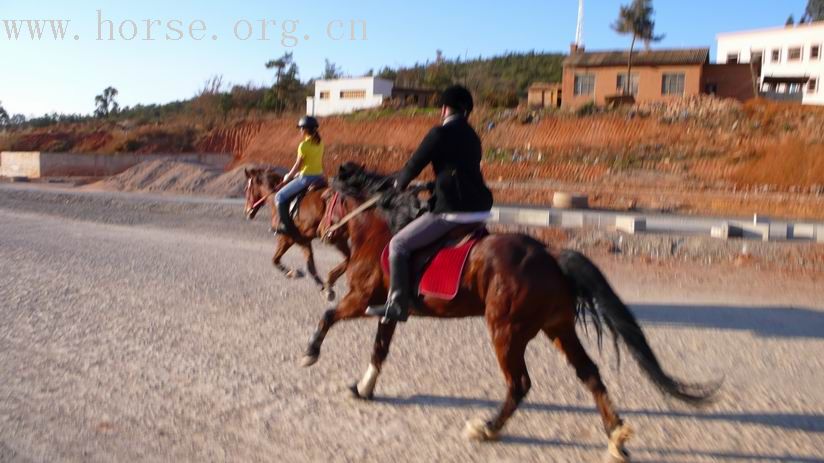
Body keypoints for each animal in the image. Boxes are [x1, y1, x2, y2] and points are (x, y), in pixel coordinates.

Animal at [243, 167, 350, 300]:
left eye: (247, 189)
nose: (247, 211)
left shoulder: (287, 238)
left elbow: (275, 260)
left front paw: (294, 273)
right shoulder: (303, 240)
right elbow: (310, 267)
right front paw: (324, 288)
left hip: (336, 237)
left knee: (349, 258)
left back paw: (331, 278)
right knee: (349, 258)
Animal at [304, 164, 720, 463]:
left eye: (326, 200)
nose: (321, 232)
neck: (381, 230)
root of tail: (550, 256)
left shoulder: (360, 298)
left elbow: (328, 316)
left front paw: (310, 353)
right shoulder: (388, 308)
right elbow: (379, 348)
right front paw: (363, 388)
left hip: (506, 331)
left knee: (519, 384)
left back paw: (487, 428)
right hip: (558, 328)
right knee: (589, 374)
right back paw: (616, 436)